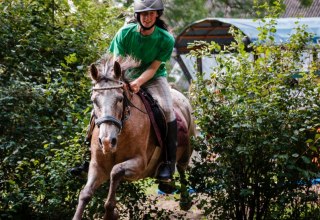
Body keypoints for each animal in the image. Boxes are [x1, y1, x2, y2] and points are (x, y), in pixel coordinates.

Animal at [73, 53, 195, 220]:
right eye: (94, 100)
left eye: (119, 99)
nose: (106, 142)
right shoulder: (97, 166)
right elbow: (85, 194)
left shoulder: (140, 164)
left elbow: (115, 171)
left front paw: (111, 213)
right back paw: (167, 185)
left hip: (186, 151)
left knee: (182, 169)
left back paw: (184, 199)